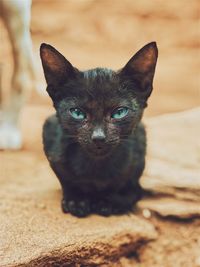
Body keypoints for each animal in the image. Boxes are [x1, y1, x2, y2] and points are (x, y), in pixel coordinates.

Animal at [39, 42, 158, 218]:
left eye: (119, 112)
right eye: (77, 113)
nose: (98, 137)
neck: (96, 167)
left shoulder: (137, 161)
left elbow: (132, 192)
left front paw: (109, 201)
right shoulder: (52, 143)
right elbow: (67, 180)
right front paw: (76, 200)